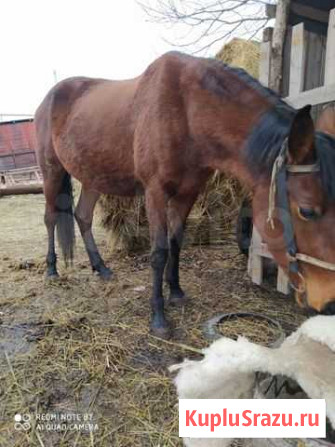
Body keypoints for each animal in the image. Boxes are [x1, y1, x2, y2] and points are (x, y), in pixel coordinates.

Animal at [35, 51, 335, 336]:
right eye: (306, 211)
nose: (330, 302)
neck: (186, 110)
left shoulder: (187, 193)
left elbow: (176, 243)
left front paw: (176, 292)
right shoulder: (155, 192)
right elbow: (159, 252)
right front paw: (158, 317)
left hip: (93, 178)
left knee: (83, 216)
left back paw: (101, 267)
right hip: (51, 171)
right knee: (50, 218)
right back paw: (51, 269)